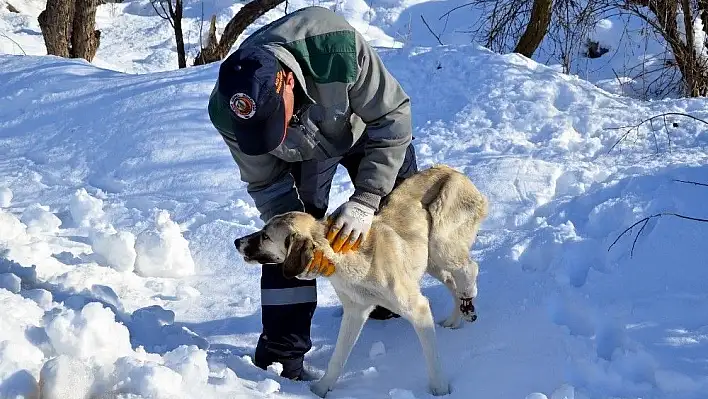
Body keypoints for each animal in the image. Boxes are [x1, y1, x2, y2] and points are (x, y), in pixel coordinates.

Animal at [235, 165, 490, 396]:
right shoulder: (355, 311)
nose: (237, 242)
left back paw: (468, 300)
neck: (346, 261)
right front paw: (320, 389)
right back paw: (456, 318)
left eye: (266, 236)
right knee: (452, 281)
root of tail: (454, 171)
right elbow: (338, 357)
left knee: (469, 268)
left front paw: (440, 389)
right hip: (431, 261)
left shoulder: (417, 309)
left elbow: (432, 357)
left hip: (440, 244)